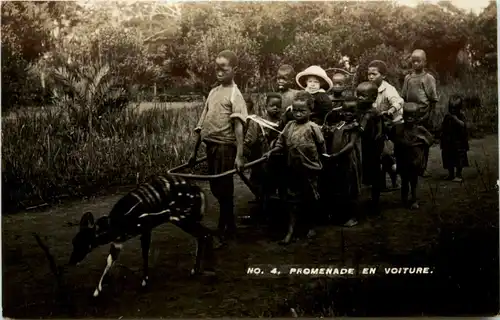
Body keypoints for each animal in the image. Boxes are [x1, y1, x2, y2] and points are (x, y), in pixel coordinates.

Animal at [67, 175, 216, 298]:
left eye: (84, 242)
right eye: (74, 241)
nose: (72, 261)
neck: (117, 224)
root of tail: (199, 191)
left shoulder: (145, 227)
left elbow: (145, 253)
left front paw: (144, 283)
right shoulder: (118, 242)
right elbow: (110, 260)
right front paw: (97, 291)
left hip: (182, 218)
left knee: (207, 234)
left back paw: (209, 272)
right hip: (185, 219)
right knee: (202, 236)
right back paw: (195, 271)